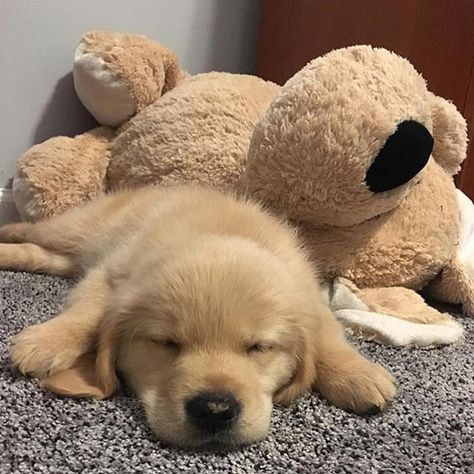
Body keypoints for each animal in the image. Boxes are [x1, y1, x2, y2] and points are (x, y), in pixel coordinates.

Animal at [0, 186, 396, 448]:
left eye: (259, 347)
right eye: (166, 343)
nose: (215, 409)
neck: (218, 235)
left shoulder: (310, 297)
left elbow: (328, 336)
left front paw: (357, 374)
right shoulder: (111, 272)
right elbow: (87, 310)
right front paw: (45, 342)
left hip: (69, 255)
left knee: (42, 256)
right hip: (76, 231)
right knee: (35, 232)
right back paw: (7, 232)